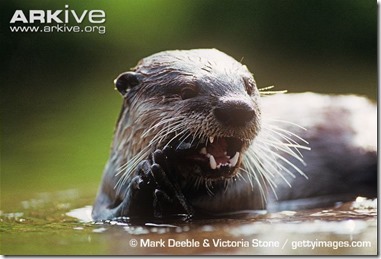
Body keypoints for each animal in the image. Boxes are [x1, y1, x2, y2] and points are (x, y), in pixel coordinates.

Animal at [91, 48, 374, 221]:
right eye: (186, 91)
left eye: (248, 86)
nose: (236, 107)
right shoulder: (106, 191)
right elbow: (109, 214)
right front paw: (149, 180)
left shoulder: (250, 193)